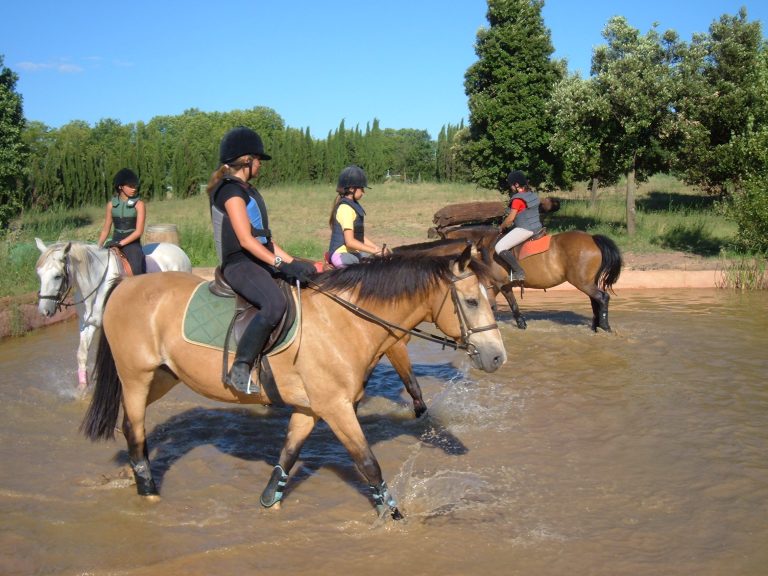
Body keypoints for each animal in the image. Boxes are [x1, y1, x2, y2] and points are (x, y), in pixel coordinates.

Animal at [82, 245, 504, 520]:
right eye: (471, 302)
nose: (497, 356)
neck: (346, 321)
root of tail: (125, 286)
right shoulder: (336, 408)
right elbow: (368, 463)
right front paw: (393, 516)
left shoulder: (310, 408)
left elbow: (288, 453)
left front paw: (271, 499)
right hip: (136, 376)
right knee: (135, 430)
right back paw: (148, 491)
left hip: (162, 376)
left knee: (131, 426)